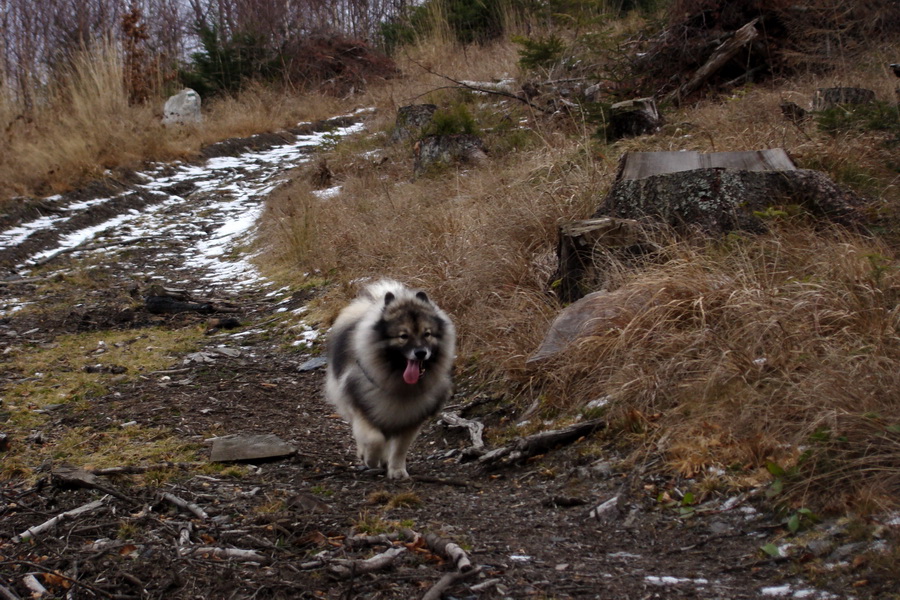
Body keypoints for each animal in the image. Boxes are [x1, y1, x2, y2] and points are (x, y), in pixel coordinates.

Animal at [326, 278, 458, 480]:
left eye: (427, 334)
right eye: (403, 336)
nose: (421, 353)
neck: (398, 384)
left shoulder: (410, 420)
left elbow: (399, 449)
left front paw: (397, 470)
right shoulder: (363, 410)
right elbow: (374, 439)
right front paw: (371, 459)